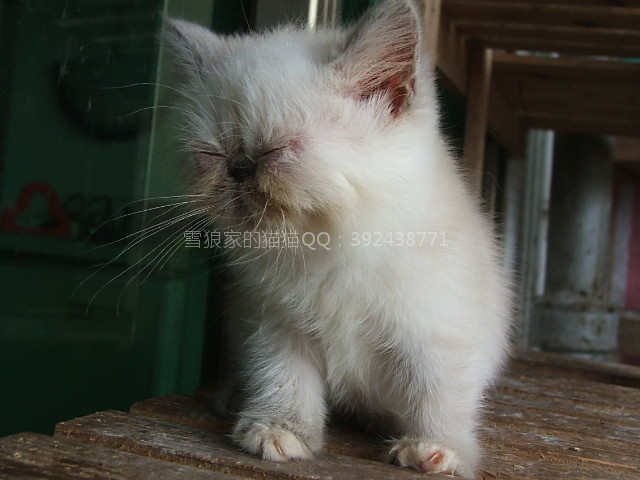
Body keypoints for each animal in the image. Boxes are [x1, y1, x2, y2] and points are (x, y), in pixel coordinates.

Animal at [164, 0, 511, 477]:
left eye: (277, 151)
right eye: (212, 154)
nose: (240, 166)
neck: (327, 249)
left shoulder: (438, 336)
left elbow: (438, 395)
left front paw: (435, 449)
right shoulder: (275, 325)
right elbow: (284, 378)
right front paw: (280, 430)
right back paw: (236, 398)